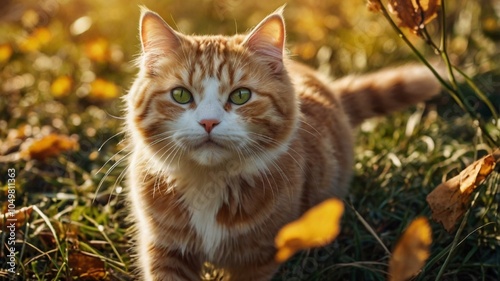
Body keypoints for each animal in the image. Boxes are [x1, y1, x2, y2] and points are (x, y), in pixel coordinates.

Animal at [125, 6, 442, 280]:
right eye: (180, 95)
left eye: (241, 96)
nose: (208, 122)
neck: (209, 183)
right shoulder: (166, 249)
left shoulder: (259, 258)